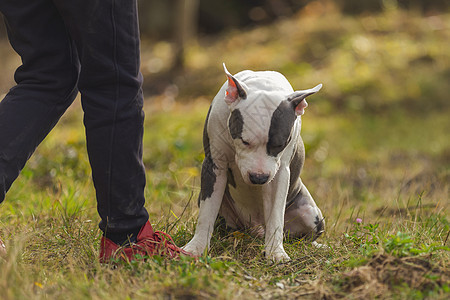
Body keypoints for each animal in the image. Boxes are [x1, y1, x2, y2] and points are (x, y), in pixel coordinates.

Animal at [181, 64, 326, 262]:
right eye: (244, 141)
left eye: (280, 145)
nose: (258, 178)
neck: (263, 84)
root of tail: (256, 230)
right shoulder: (214, 165)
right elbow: (206, 213)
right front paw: (196, 247)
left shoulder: (279, 175)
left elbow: (275, 217)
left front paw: (276, 253)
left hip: (311, 213)